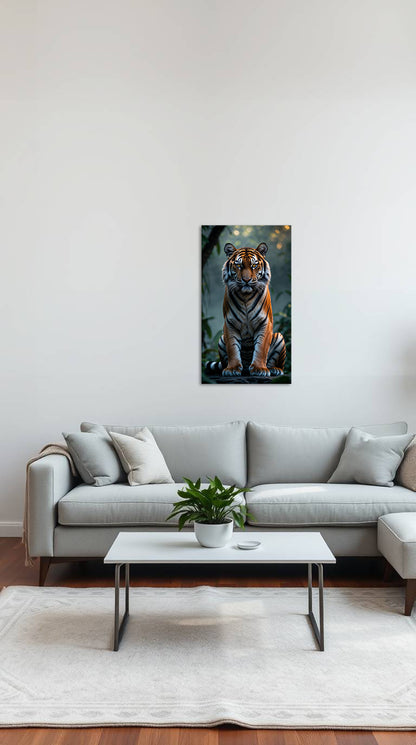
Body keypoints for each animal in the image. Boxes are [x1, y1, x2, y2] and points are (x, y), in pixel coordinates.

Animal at [206, 242, 286, 378]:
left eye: (254, 265)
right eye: (239, 265)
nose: (246, 280)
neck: (246, 296)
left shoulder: (265, 322)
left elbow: (261, 348)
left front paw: (259, 369)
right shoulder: (230, 323)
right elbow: (232, 348)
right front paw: (232, 369)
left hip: (279, 336)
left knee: (275, 363)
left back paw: (275, 369)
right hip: (221, 339)